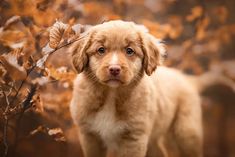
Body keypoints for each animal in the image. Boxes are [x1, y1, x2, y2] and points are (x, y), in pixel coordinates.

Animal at [68, 20, 204, 156]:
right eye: (101, 50)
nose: (114, 69)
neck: (112, 95)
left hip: (186, 133)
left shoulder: (135, 138)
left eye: (129, 51)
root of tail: (187, 78)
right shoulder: (89, 135)